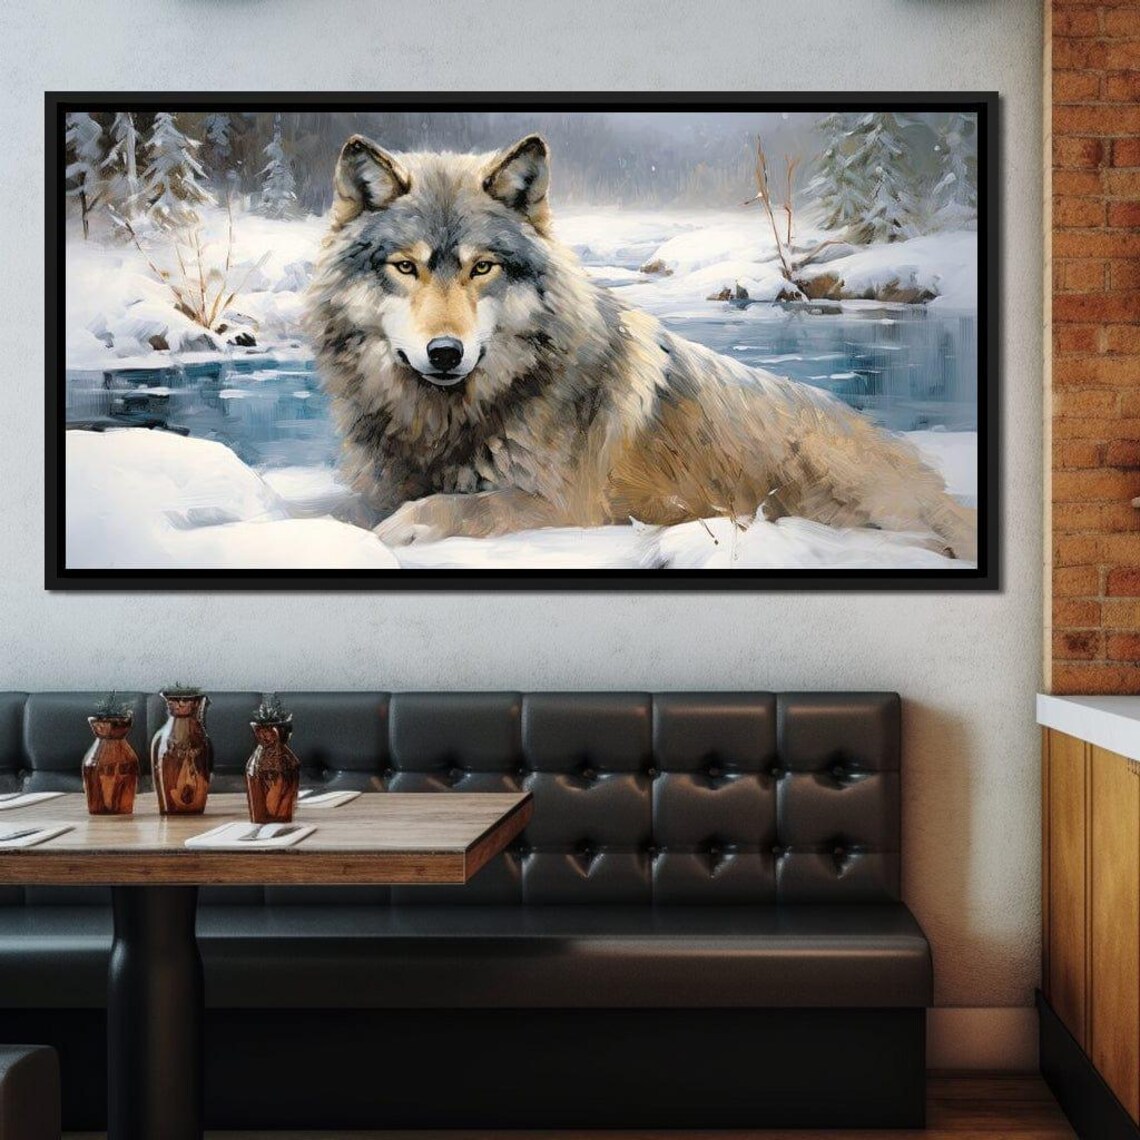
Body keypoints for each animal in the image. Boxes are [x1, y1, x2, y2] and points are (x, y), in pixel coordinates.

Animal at [304, 133, 977, 561]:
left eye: (482, 267)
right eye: (405, 267)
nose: (446, 352)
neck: (444, 419)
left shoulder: (565, 506)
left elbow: (450, 509)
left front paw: (394, 533)